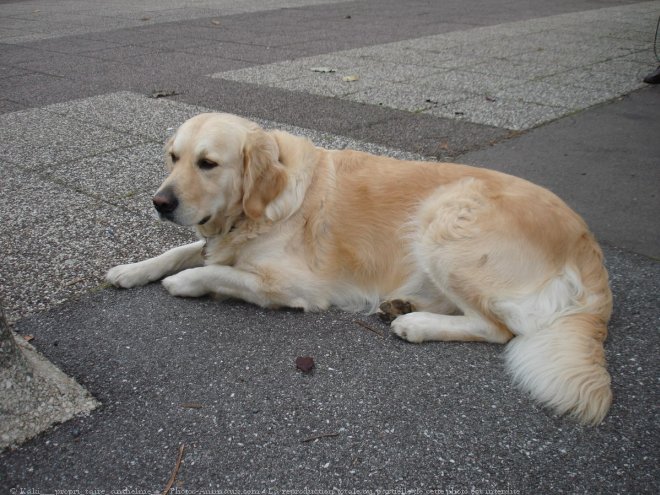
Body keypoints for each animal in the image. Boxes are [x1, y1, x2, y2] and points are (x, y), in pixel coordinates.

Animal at [107, 112, 612, 426]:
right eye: (173, 157)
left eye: (208, 163)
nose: (159, 203)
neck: (264, 204)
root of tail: (586, 239)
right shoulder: (217, 242)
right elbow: (184, 251)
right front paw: (130, 270)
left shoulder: (295, 286)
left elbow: (216, 273)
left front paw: (183, 282)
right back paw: (401, 304)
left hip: (444, 217)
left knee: (497, 328)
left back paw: (414, 323)